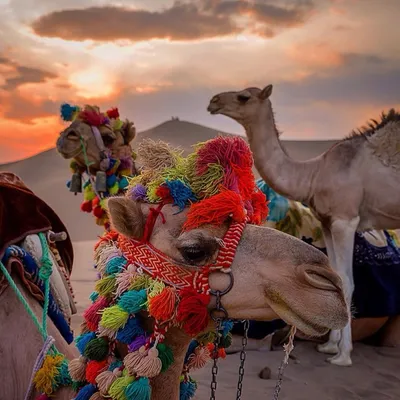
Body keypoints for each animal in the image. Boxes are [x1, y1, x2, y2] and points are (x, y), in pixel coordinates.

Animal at [208, 84, 400, 366]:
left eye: (244, 96)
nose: (213, 100)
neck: (315, 173)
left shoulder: (345, 219)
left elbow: (347, 281)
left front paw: (342, 355)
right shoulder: (327, 221)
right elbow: (336, 276)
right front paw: (329, 346)